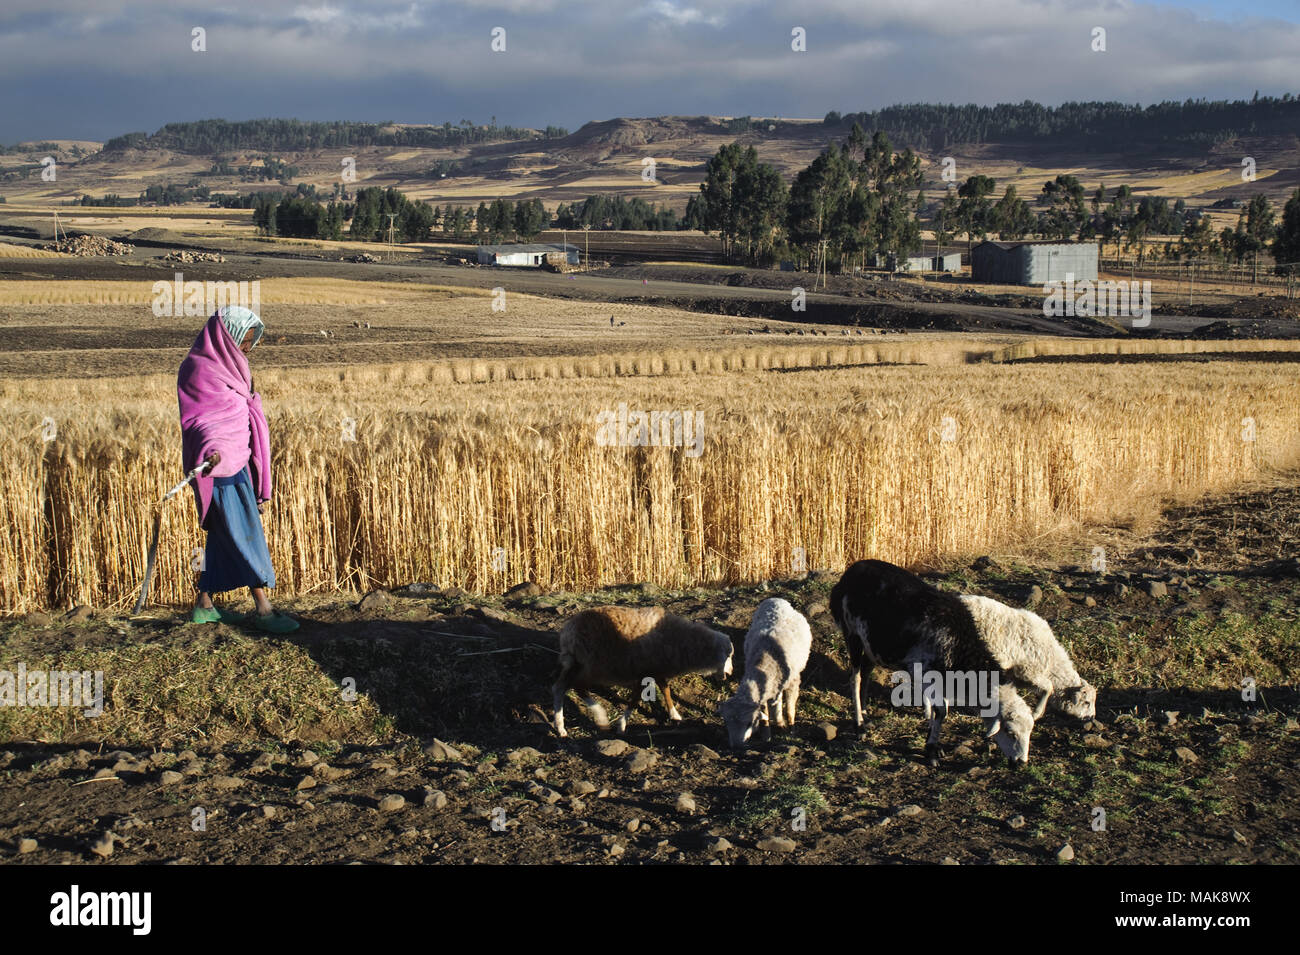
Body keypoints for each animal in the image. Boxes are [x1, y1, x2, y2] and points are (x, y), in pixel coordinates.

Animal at [548, 605, 733, 738]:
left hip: (576, 662)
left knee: (559, 687)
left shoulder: (656, 670)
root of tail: (568, 632)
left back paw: (560, 727)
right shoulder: (644, 671)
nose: (730, 673)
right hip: (595, 665)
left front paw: (674, 714)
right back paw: (600, 717)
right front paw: (622, 725)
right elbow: (636, 699)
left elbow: (665, 690)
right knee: (577, 686)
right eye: (729, 655)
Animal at [722, 597, 811, 748]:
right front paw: (767, 735)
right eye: (727, 725)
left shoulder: (793, 682)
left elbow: (790, 709)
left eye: (749, 723)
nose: (736, 747)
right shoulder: (764, 692)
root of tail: (777, 600)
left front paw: (790, 729)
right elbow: (765, 713)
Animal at [826, 561, 1029, 769]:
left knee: (866, 672)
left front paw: (934, 741)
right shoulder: (924, 671)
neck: (960, 643)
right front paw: (931, 750)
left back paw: (866, 716)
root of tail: (851, 571)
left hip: (873, 644)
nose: (1021, 764)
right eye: (1010, 732)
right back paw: (859, 725)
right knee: (856, 678)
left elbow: (941, 707)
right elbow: (940, 710)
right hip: (853, 634)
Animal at [956, 595, 1097, 722]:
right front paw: (1036, 714)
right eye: (1087, 702)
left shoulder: (1019, 676)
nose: (1091, 717)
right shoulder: (1028, 671)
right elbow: (1048, 687)